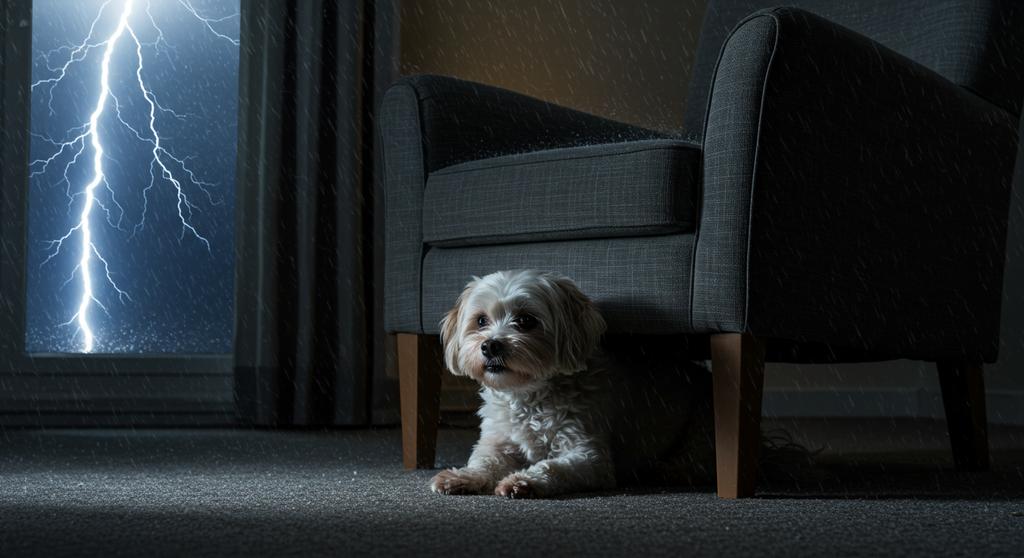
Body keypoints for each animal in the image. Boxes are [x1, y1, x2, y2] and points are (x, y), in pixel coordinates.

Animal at [430, 268, 712, 495]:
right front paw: (462, 476)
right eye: (481, 320)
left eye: (525, 320)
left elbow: (553, 467)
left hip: (700, 424)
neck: (527, 395)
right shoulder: (497, 442)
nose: (490, 346)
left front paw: (523, 481)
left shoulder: (590, 455)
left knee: (696, 461)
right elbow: (484, 461)